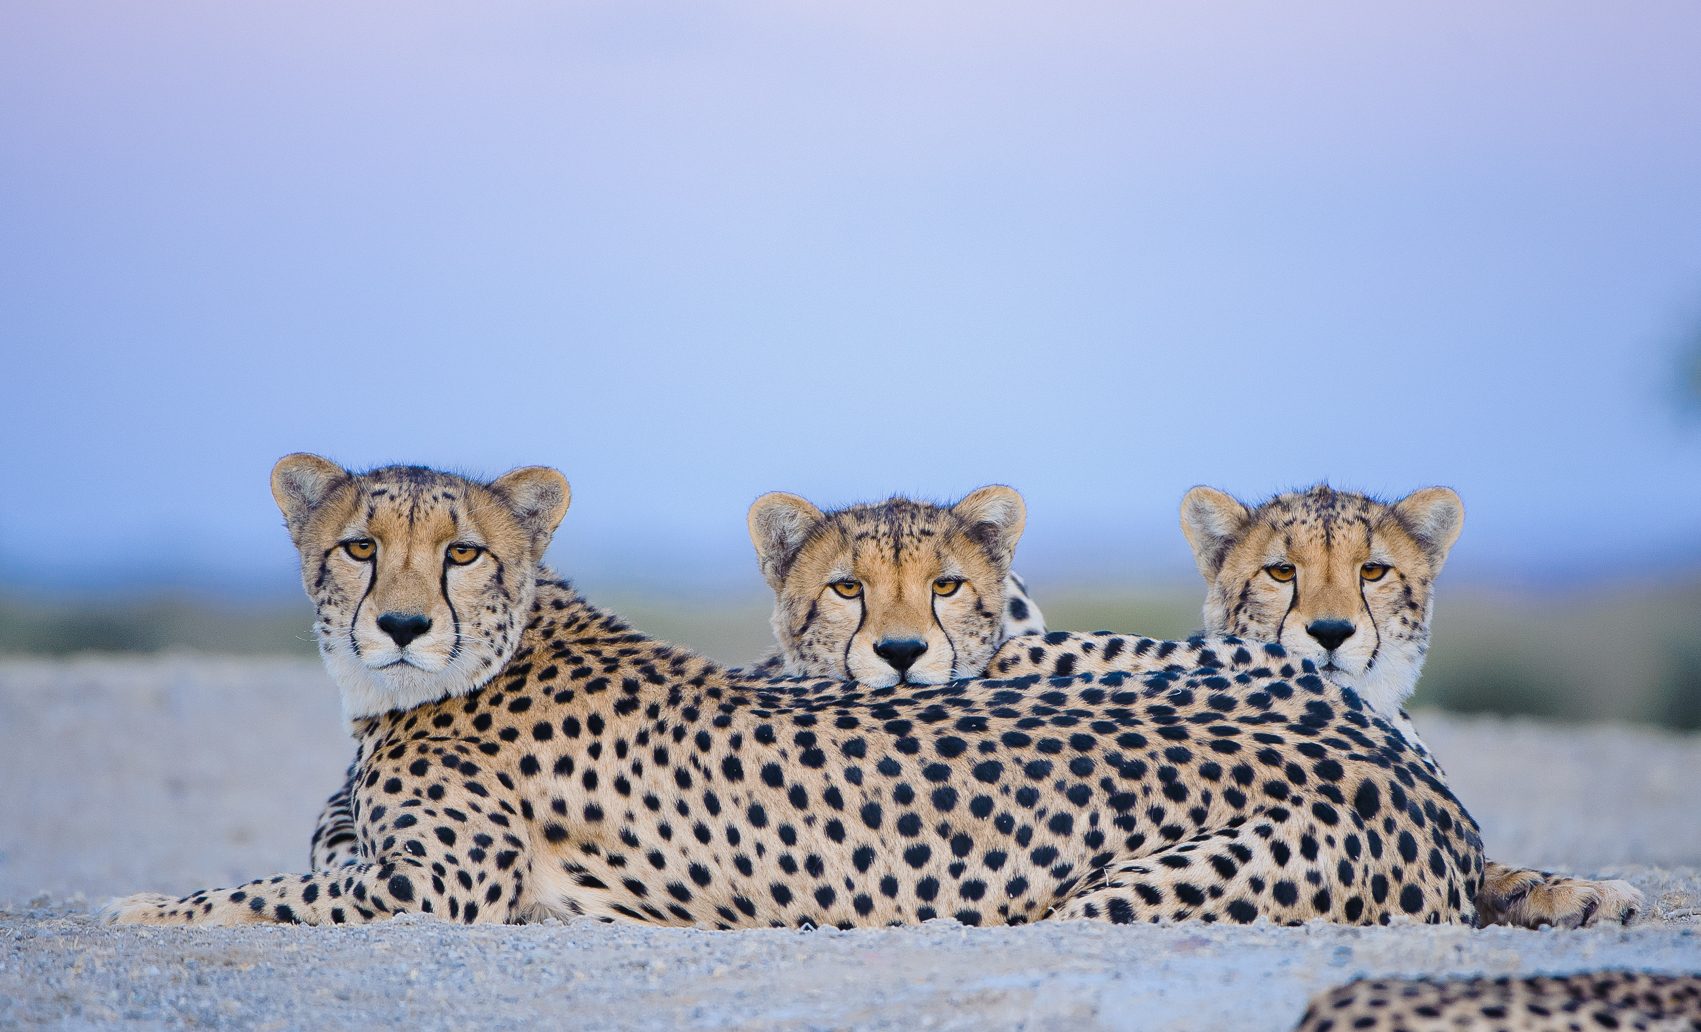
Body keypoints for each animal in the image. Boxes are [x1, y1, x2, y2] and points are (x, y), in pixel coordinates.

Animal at [103, 455, 1482, 928]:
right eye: (356, 547)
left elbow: (263, 894)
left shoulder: (435, 889)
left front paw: (139, 907)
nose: (400, 624)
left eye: (460, 554)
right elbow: (293, 870)